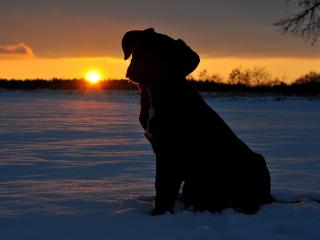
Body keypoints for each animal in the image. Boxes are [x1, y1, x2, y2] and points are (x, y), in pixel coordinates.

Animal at [121, 28, 272, 216]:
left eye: (162, 56)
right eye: (139, 48)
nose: (136, 69)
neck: (155, 92)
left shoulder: (170, 153)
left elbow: (164, 189)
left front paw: (158, 215)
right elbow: (162, 187)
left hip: (254, 164)